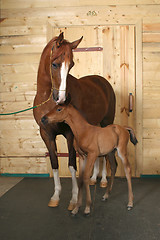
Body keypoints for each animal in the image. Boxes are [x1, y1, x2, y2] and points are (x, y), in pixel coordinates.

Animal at [33, 32, 116, 210]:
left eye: (71, 65)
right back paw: (93, 179)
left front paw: (74, 199)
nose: (62, 99)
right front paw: (55, 196)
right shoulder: (46, 134)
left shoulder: (70, 134)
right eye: (55, 64)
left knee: (106, 154)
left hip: (106, 122)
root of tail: (103, 82)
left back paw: (103, 181)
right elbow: (55, 163)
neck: (47, 100)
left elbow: (72, 164)